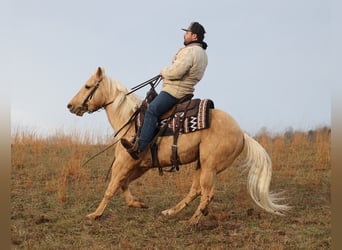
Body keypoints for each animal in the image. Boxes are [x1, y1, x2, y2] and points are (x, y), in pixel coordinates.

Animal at [67, 67, 288, 226]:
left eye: (87, 86)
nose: (70, 106)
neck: (131, 120)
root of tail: (242, 133)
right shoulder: (140, 165)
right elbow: (123, 184)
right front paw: (138, 204)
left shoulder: (124, 161)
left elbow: (111, 188)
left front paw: (95, 214)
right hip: (202, 164)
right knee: (196, 190)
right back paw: (171, 212)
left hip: (210, 166)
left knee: (207, 193)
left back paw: (191, 221)